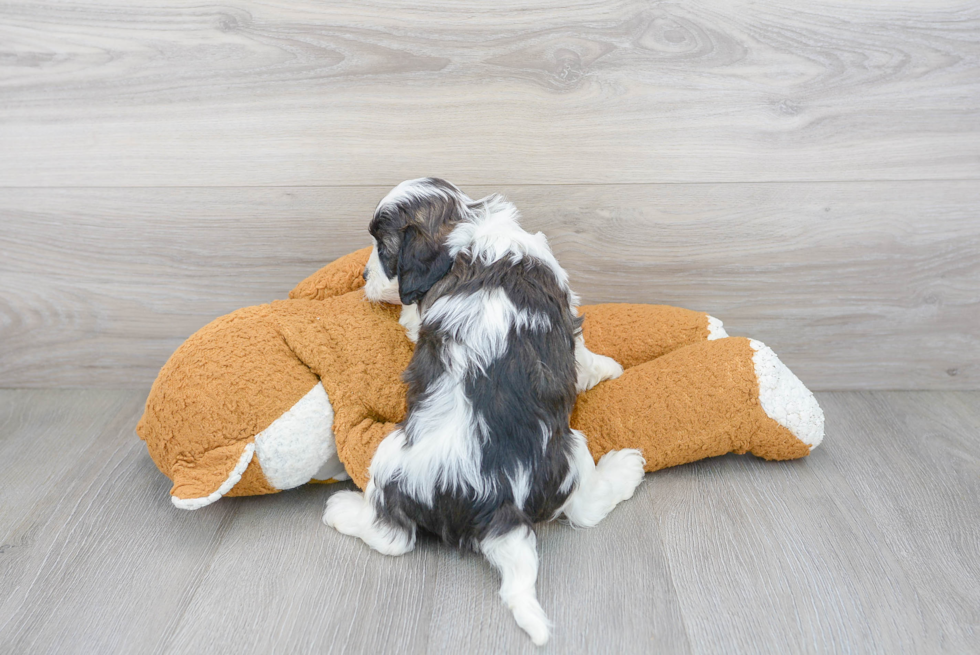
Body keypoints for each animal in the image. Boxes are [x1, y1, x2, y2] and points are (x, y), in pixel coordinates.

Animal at [322, 177, 644, 644]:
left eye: (383, 249)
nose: (364, 276)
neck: (469, 230)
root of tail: (494, 502)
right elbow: (584, 358)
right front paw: (610, 368)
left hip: (396, 456)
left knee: (393, 534)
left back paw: (342, 511)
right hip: (566, 452)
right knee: (584, 508)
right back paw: (627, 467)